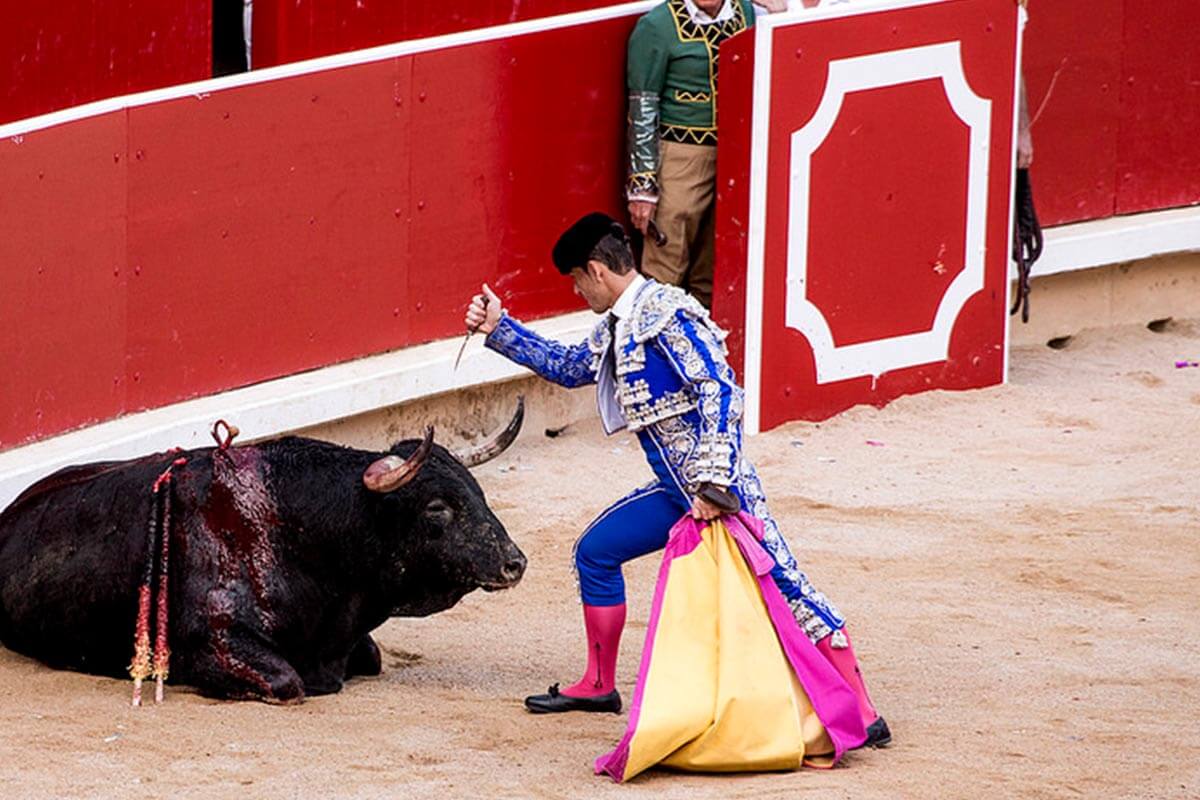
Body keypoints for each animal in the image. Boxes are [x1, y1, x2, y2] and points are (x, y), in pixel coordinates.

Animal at [0, 402, 530, 705]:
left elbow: (372, 655)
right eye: (437, 507)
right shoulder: (218, 640)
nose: (515, 562)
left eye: (478, 493)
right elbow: (287, 684)